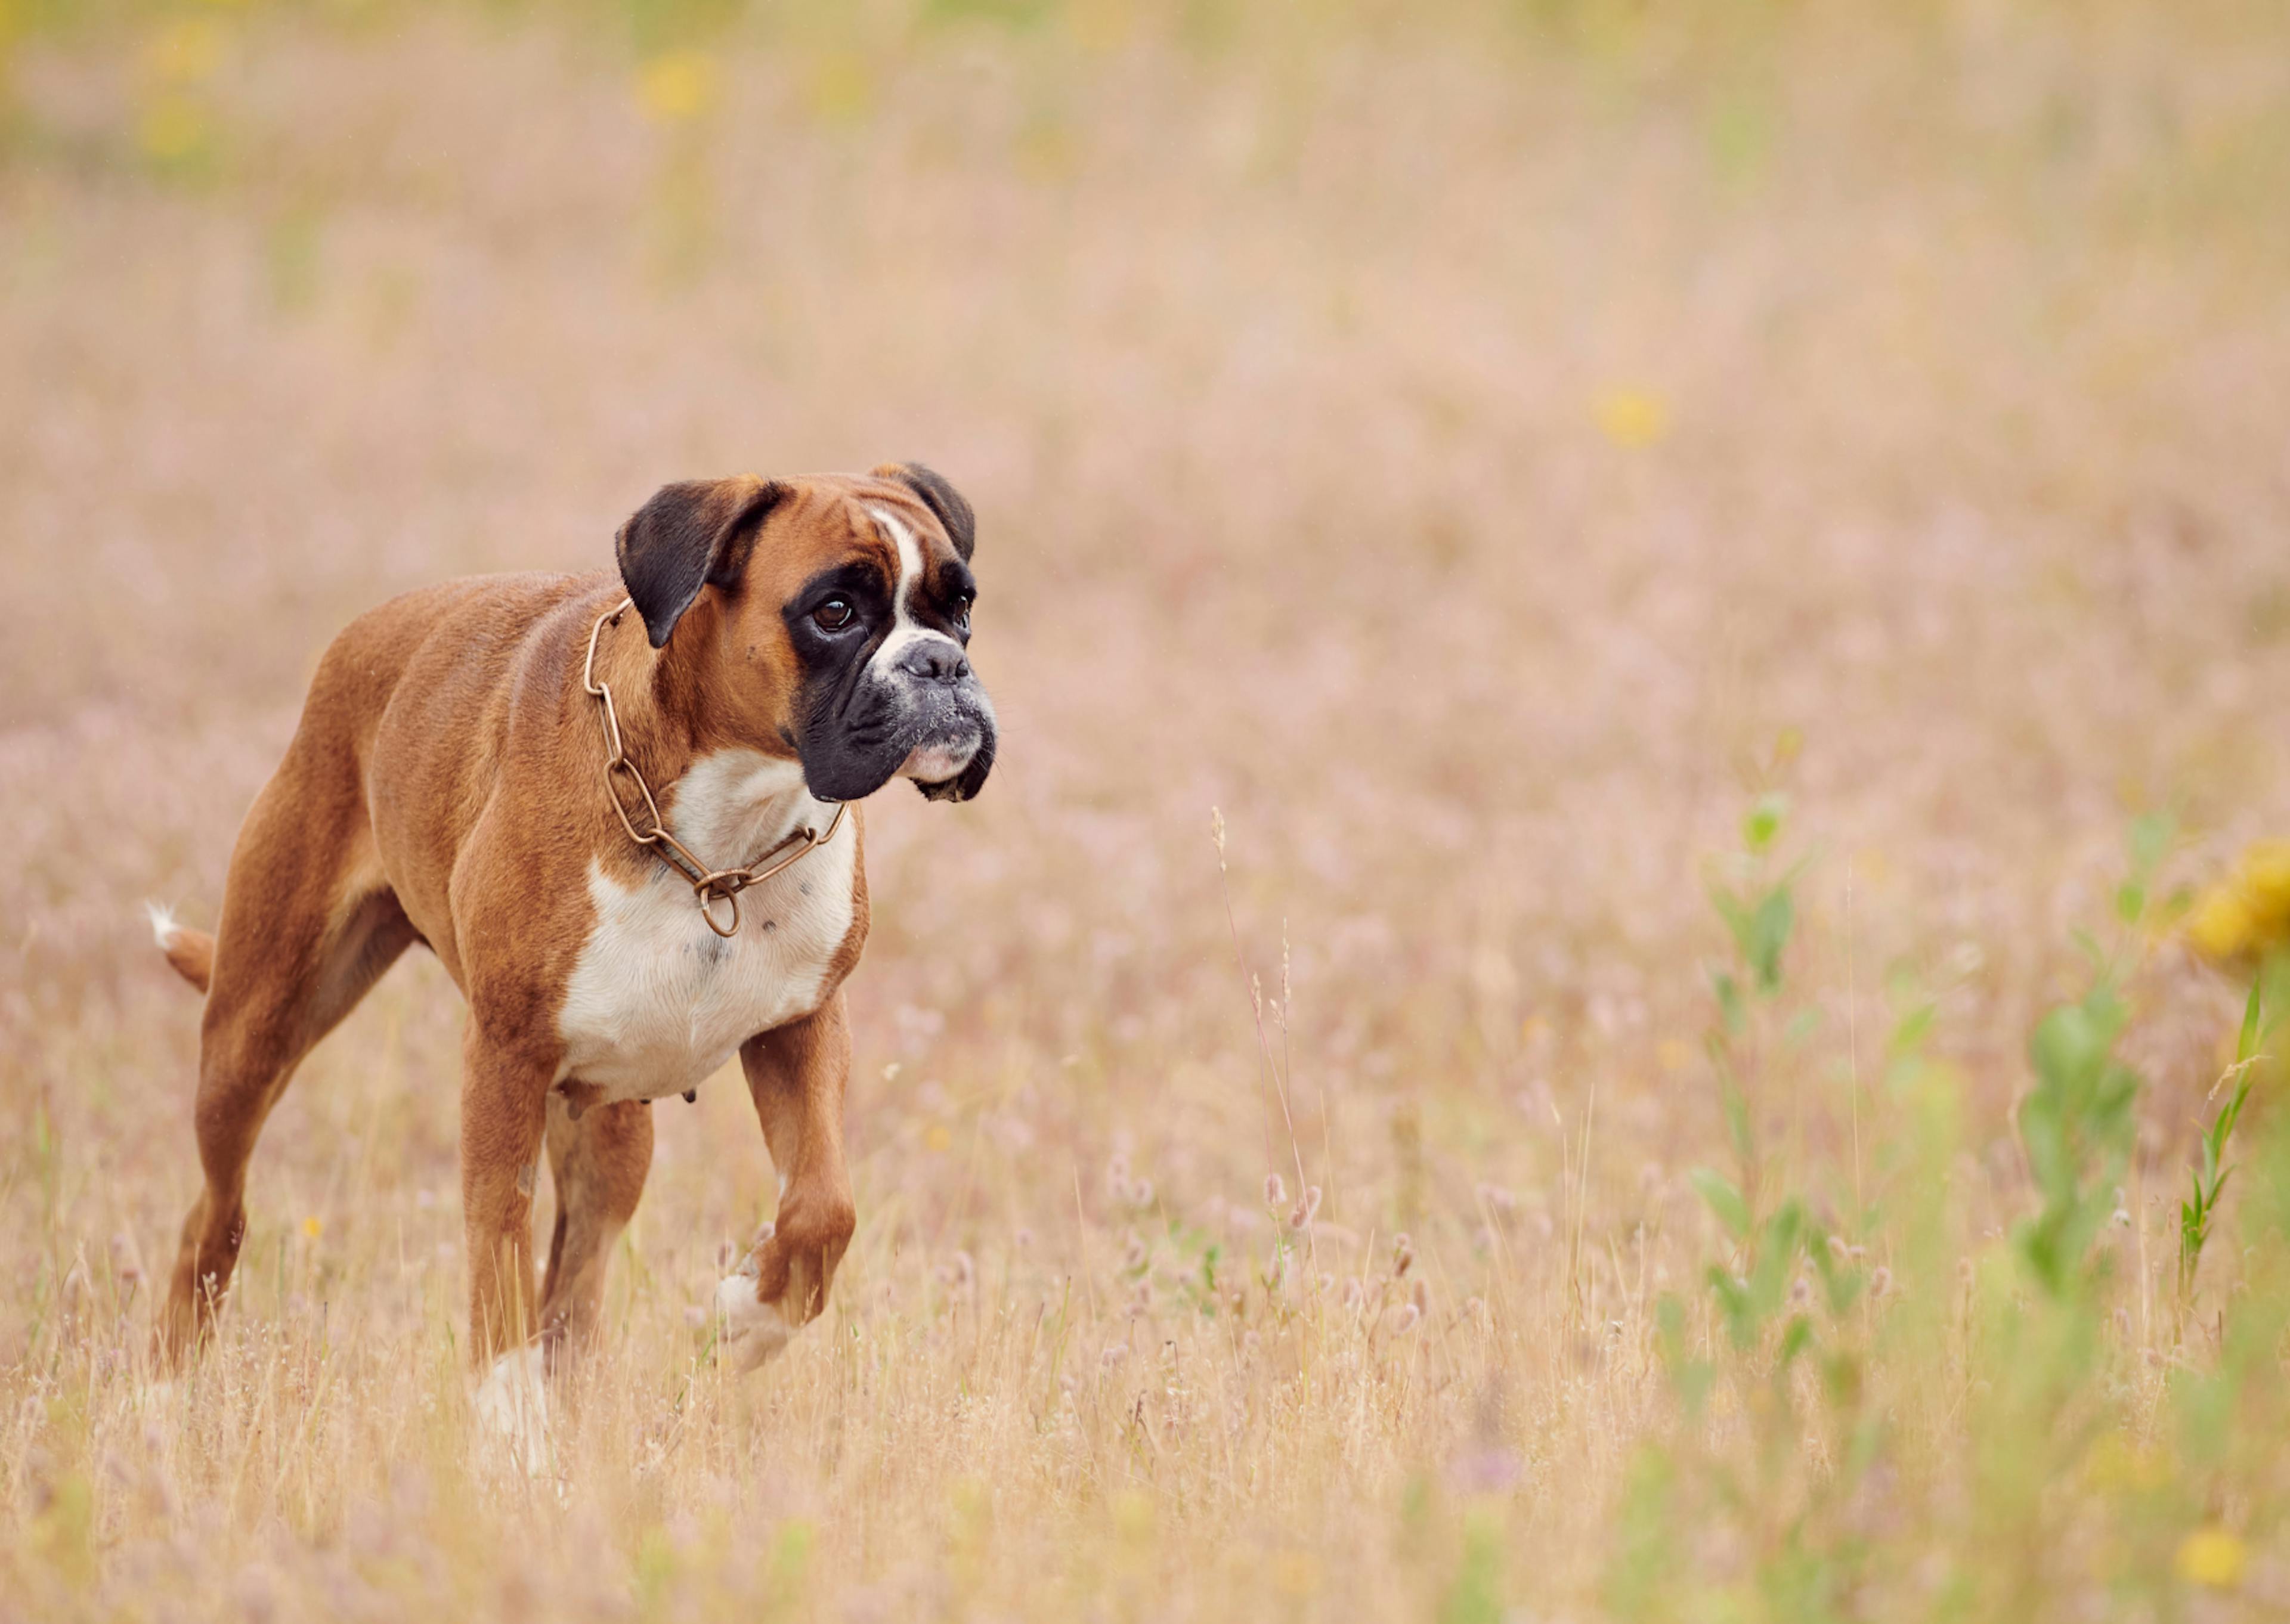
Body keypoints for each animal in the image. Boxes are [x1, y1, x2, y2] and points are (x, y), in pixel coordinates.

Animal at [147, 463, 989, 1402]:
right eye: (834, 611)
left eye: (961, 605)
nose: (942, 663)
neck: (721, 843)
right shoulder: (504, 1063)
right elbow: (499, 1248)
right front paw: (506, 1419)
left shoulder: (800, 1028)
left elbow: (823, 1208)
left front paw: (751, 1321)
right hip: (255, 1033)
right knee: (216, 1210)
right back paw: (168, 1387)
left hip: (610, 1127)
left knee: (576, 1282)